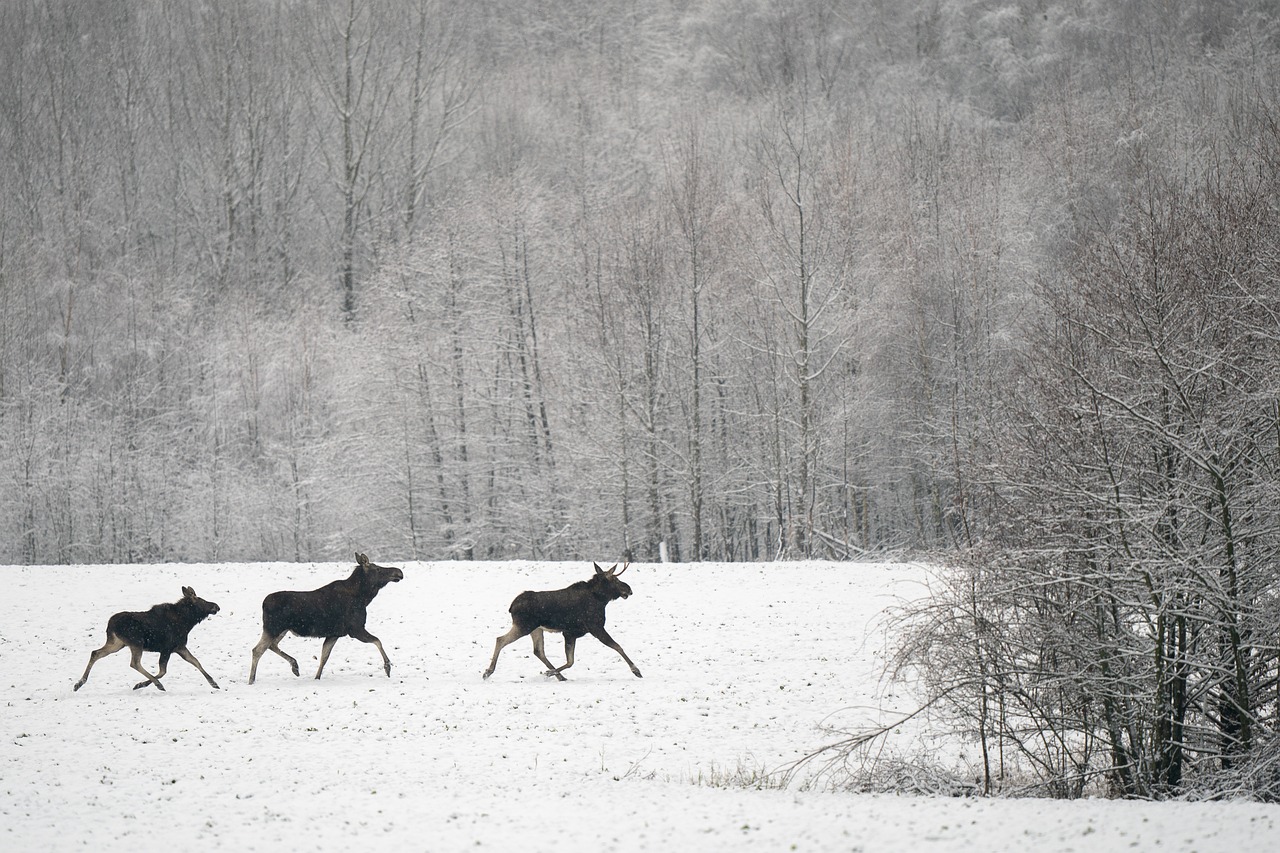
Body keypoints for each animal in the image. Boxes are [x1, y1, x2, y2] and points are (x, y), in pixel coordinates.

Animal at [73, 586, 221, 692]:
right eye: (202, 600)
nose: (217, 606)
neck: (187, 622)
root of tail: (110, 625)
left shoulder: (179, 647)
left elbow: (196, 662)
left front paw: (214, 683)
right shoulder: (167, 648)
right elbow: (163, 671)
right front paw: (142, 684)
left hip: (117, 643)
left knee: (96, 653)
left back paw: (79, 683)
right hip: (136, 642)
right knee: (134, 663)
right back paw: (157, 684)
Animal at [249, 552, 404, 684]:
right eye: (377, 569)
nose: (399, 572)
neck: (364, 597)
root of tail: (263, 603)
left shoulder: (334, 634)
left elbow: (324, 657)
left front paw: (317, 677)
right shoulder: (355, 629)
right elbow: (378, 641)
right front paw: (387, 667)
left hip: (281, 630)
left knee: (271, 645)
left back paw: (295, 666)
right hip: (273, 628)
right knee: (258, 650)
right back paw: (251, 680)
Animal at [483, 562, 642, 681]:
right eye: (615, 580)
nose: (629, 589)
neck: (602, 600)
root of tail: (511, 607)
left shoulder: (570, 632)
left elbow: (570, 661)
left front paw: (551, 672)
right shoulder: (595, 627)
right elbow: (617, 646)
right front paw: (636, 670)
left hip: (536, 629)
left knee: (538, 651)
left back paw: (559, 675)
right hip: (524, 626)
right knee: (500, 639)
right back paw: (488, 672)